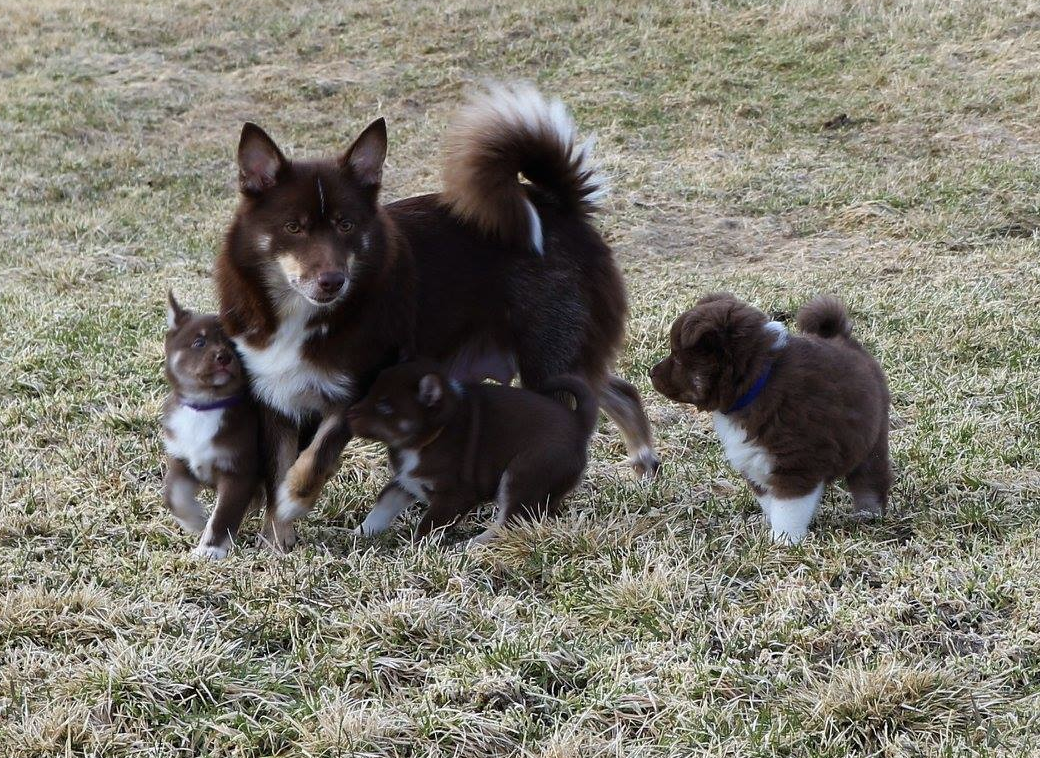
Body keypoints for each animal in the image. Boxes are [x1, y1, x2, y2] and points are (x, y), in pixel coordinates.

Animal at [160, 293, 264, 557]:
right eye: (199, 343)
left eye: (234, 345)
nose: (224, 357)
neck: (206, 406)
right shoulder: (181, 459)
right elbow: (173, 495)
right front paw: (194, 520)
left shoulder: (238, 471)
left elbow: (222, 515)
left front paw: (210, 549)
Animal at [347, 363, 599, 540]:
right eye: (369, 393)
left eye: (384, 406)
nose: (349, 413)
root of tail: (579, 423)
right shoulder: (407, 480)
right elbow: (383, 504)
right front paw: (360, 532)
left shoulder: (456, 495)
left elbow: (429, 525)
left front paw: (416, 549)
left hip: (522, 475)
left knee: (510, 520)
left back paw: (472, 545)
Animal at [644, 291, 890, 544]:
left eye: (677, 357)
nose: (650, 372)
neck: (757, 383)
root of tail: (844, 338)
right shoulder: (753, 461)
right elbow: (769, 501)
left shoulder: (796, 462)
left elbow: (788, 508)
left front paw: (784, 540)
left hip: (872, 440)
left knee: (870, 480)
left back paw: (867, 514)